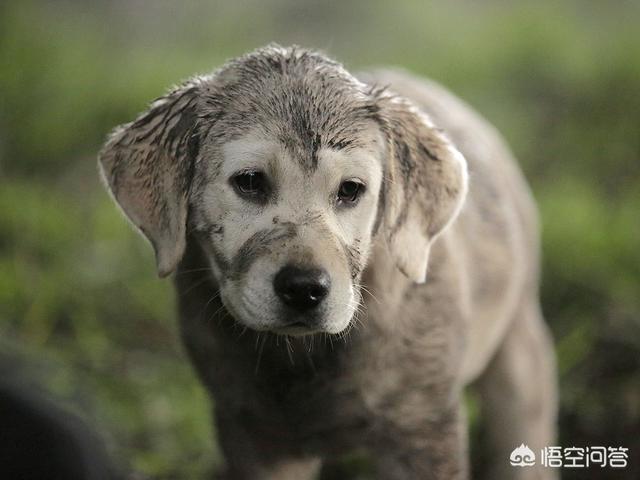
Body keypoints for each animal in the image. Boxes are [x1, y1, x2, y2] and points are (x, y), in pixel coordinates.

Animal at [97, 45, 556, 480]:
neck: (306, 356)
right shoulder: (254, 436)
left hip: (519, 349)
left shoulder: (423, 429)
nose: (304, 289)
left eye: (351, 189)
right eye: (249, 182)